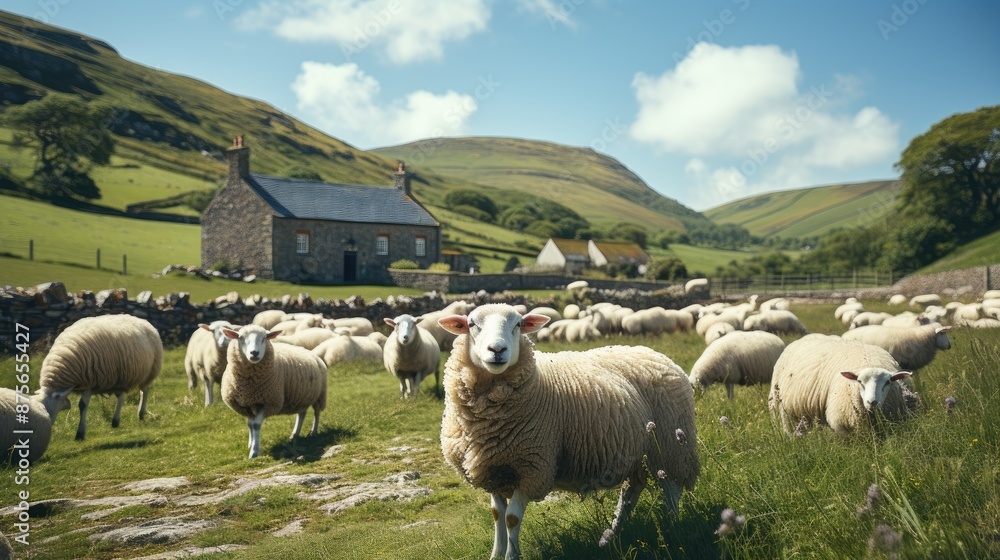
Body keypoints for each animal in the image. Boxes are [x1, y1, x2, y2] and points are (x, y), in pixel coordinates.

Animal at [221, 325, 328, 459]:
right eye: (240, 337)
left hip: (320, 395)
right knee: (301, 414)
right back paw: (294, 434)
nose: (254, 353)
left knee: (317, 413)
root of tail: (310, 352)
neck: (249, 385)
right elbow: (250, 424)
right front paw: (251, 444)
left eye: (264, 338)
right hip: (301, 396)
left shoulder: (269, 403)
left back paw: (314, 431)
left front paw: (255, 451)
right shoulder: (246, 404)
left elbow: (256, 425)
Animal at [437, 304, 699, 560]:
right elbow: (497, 514)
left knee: (672, 487)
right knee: (630, 492)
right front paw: (496, 553)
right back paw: (615, 531)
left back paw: (671, 524)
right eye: (472, 324)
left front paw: (511, 555)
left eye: (519, 324)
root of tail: (656, 354)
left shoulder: (533, 467)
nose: (497, 349)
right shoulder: (492, 469)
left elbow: (511, 518)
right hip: (637, 455)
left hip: (669, 445)